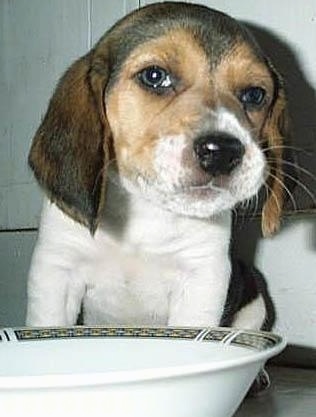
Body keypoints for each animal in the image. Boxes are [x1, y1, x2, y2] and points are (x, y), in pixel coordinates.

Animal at [25, 2, 288, 328]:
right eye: (154, 76)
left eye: (254, 94)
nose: (222, 152)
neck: (145, 211)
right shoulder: (56, 269)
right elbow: (48, 322)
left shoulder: (203, 277)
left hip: (253, 307)